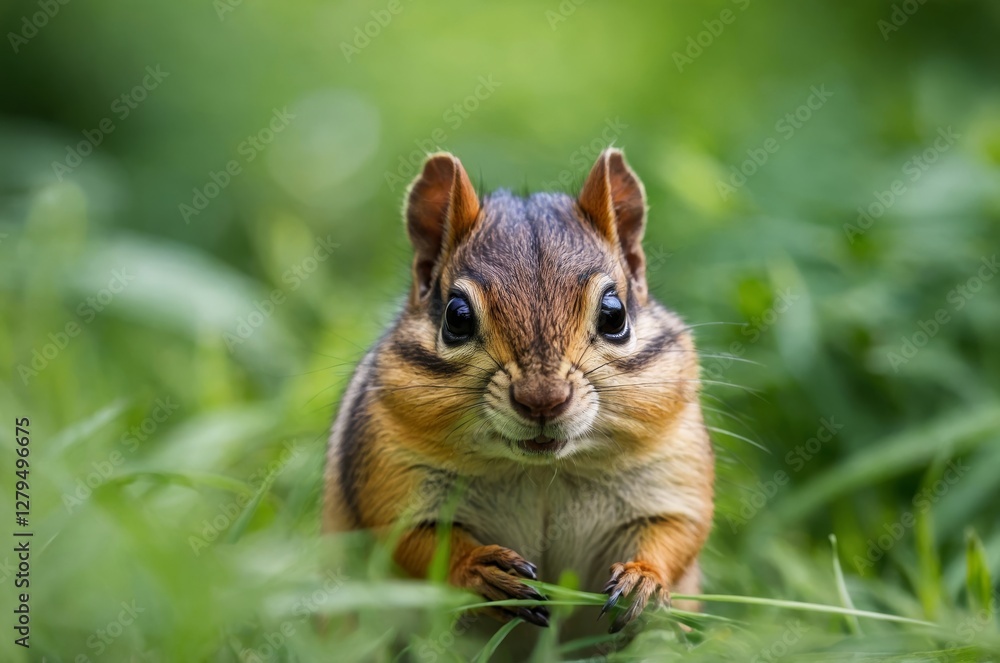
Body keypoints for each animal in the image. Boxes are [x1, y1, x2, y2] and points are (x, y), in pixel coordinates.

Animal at [323, 148, 714, 635]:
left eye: (614, 314)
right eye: (456, 317)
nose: (542, 399)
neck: (542, 472)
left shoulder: (672, 472)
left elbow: (676, 532)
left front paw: (643, 578)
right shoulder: (391, 474)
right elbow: (412, 540)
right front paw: (481, 568)